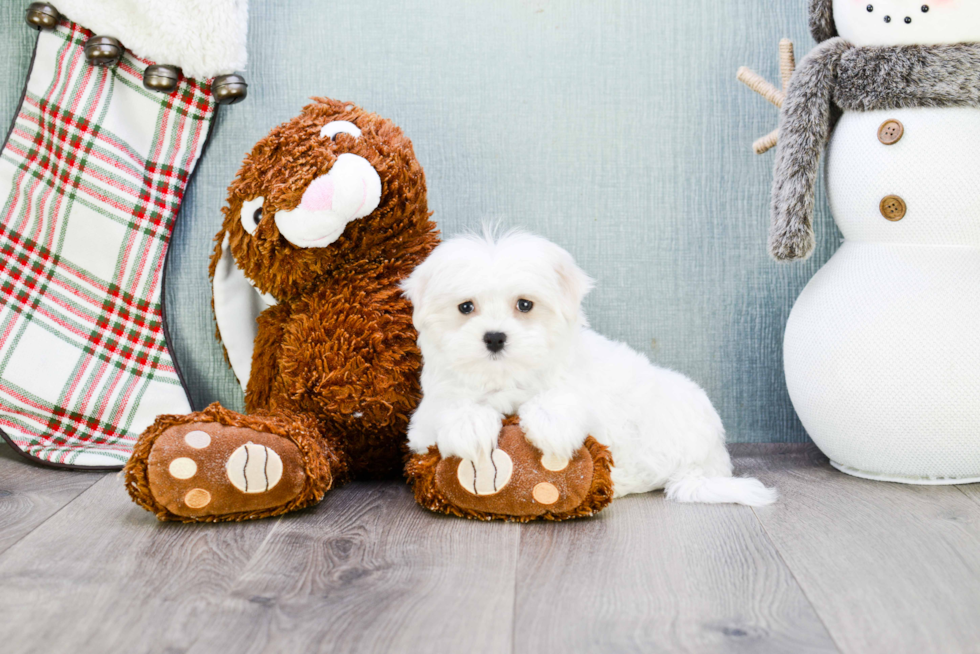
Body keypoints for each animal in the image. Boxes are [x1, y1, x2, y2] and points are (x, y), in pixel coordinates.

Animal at [398, 229, 772, 508]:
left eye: (524, 305)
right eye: (465, 307)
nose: (494, 337)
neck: (506, 379)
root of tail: (707, 465)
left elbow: (562, 398)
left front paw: (551, 426)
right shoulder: (424, 419)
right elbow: (452, 409)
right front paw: (470, 426)